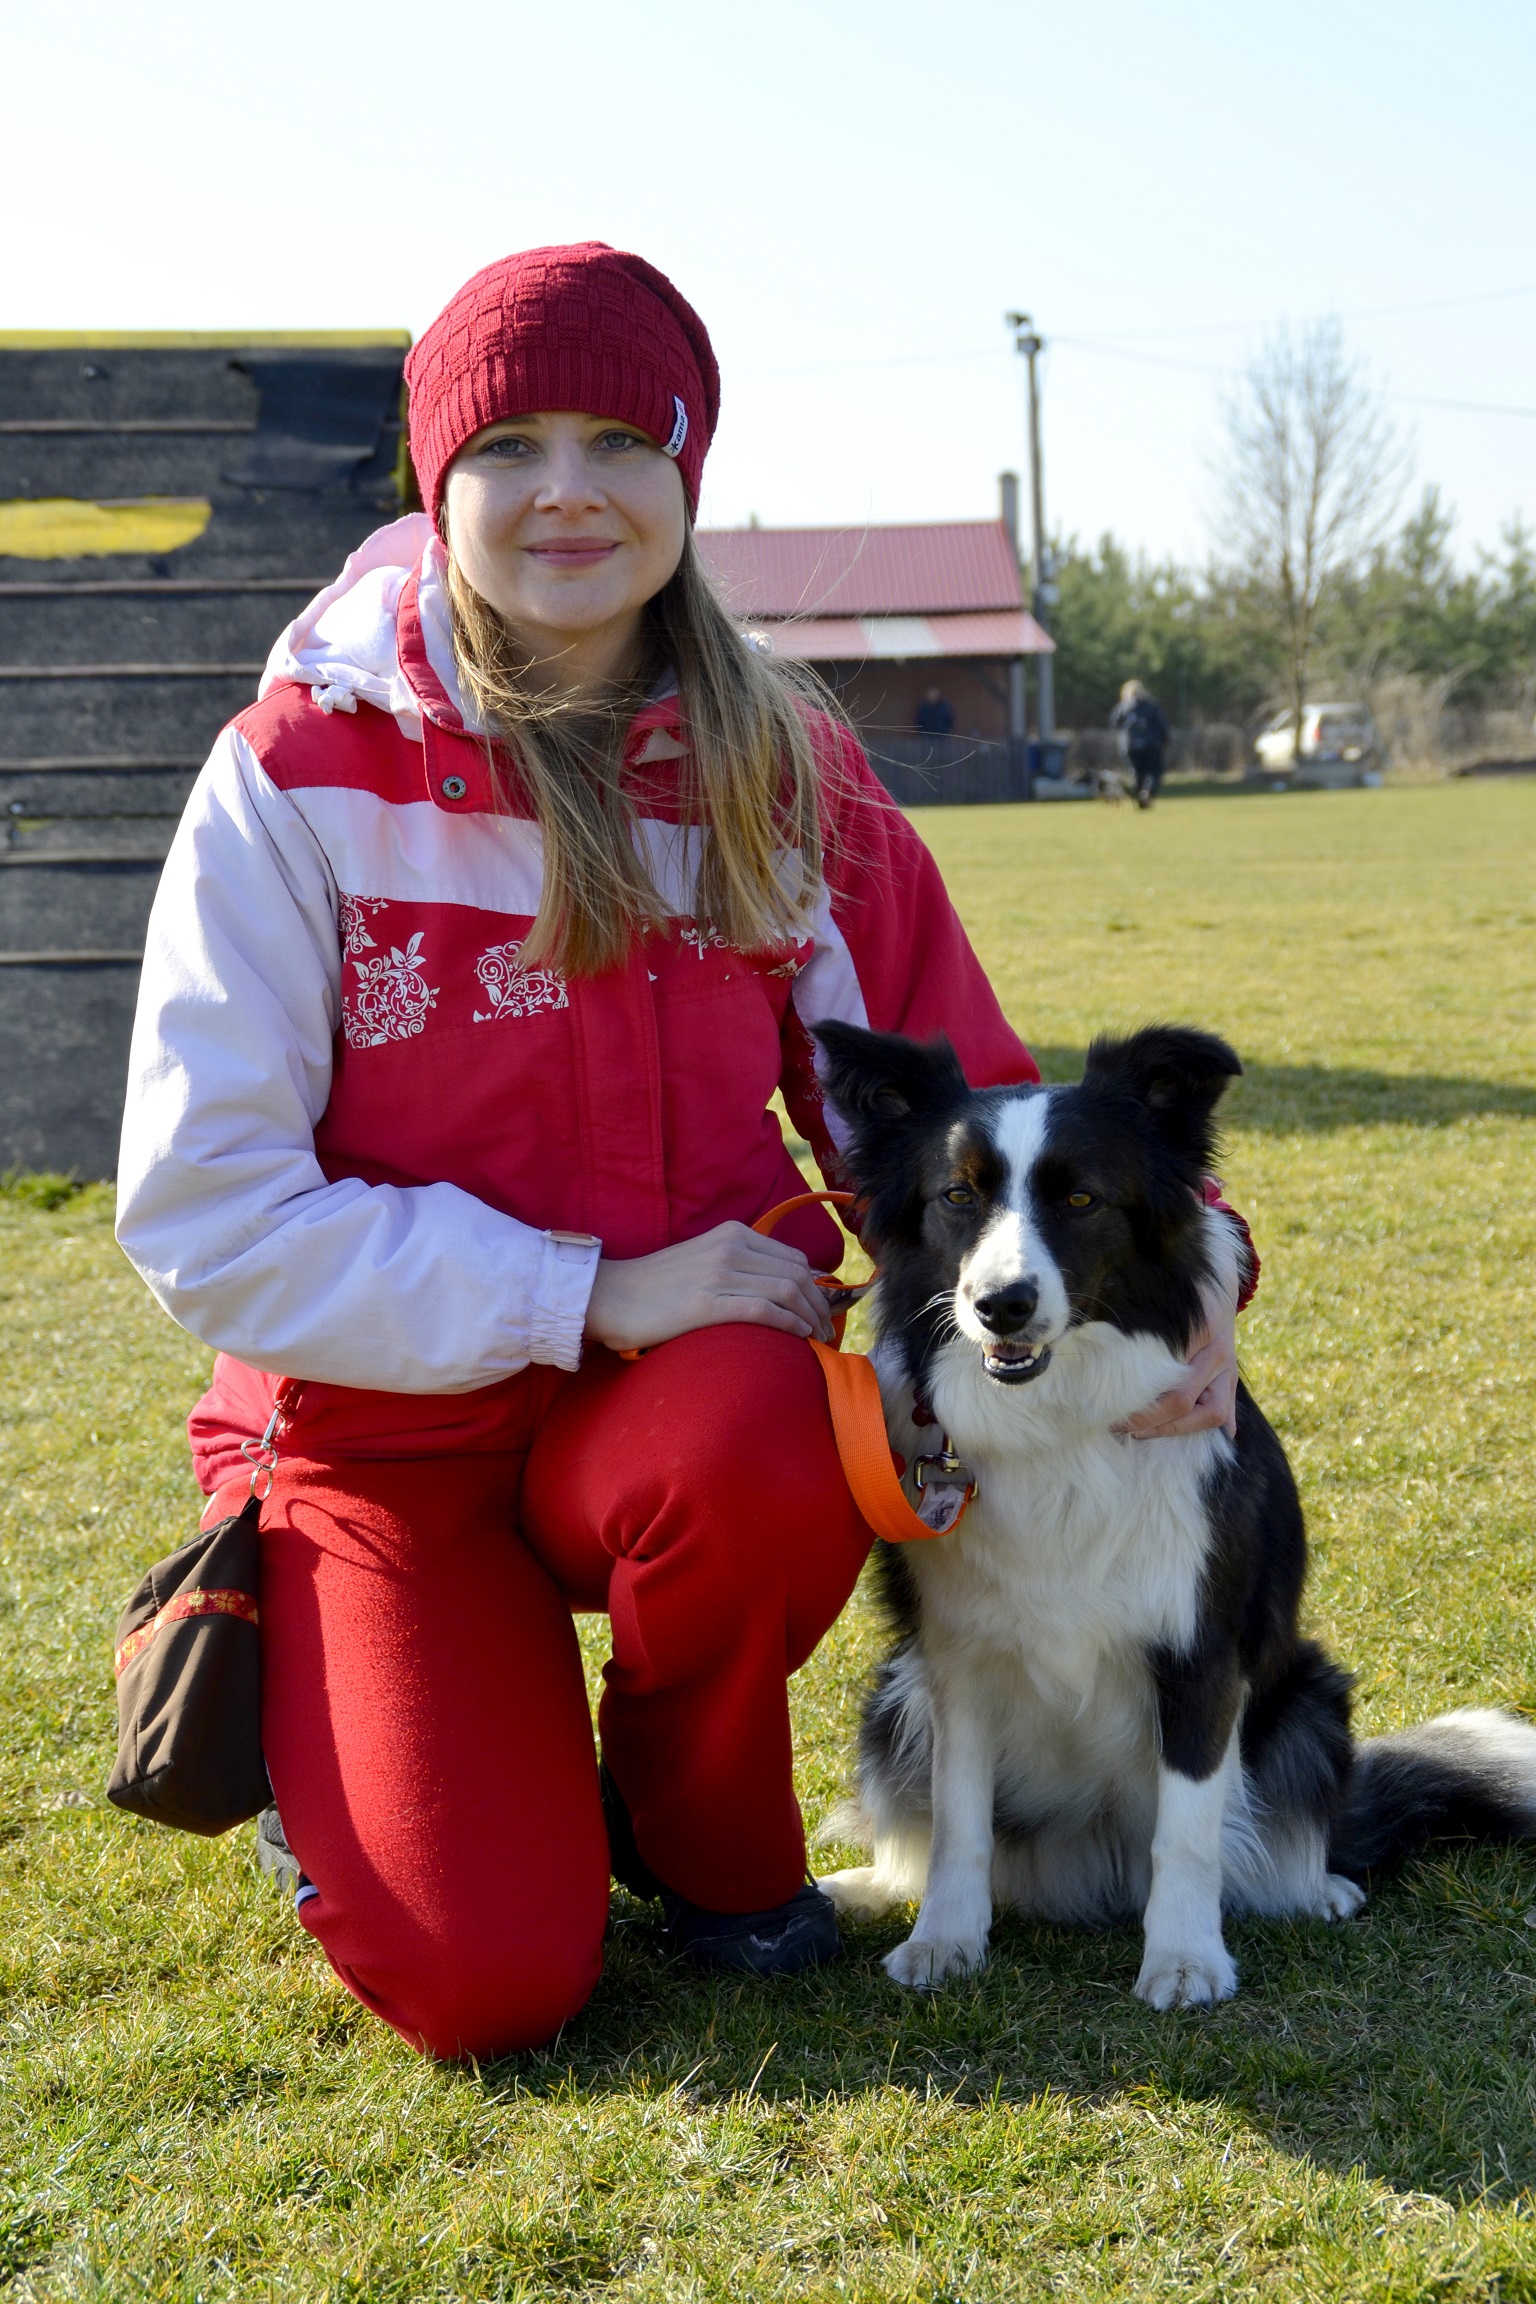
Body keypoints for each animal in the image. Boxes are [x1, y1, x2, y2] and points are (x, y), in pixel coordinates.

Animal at [811, 1020, 1536, 2008]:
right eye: (958, 1195)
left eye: (1081, 1197)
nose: (1001, 1305)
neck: (1062, 1422)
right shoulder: (957, 1659)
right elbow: (960, 1823)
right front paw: (946, 1940)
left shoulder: (1201, 1651)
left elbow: (1187, 1832)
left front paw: (1185, 1959)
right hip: (892, 1700)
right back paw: (868, 1888)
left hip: (1308, 1700)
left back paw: (1318, 1888)